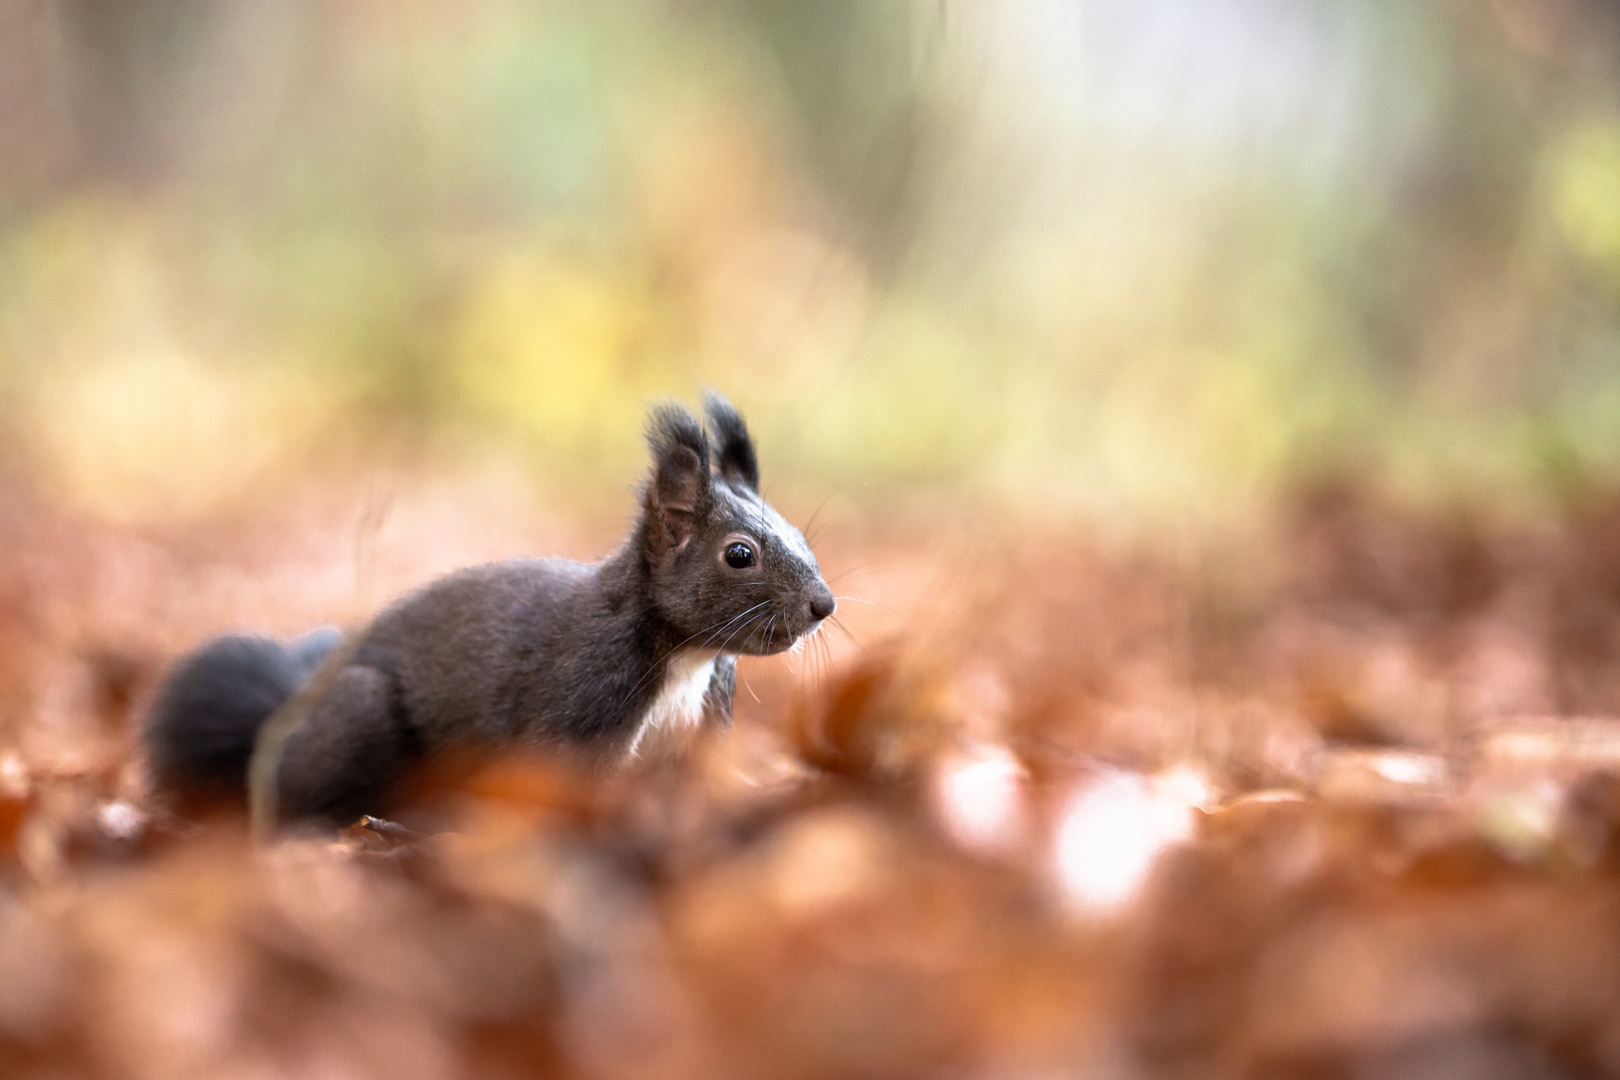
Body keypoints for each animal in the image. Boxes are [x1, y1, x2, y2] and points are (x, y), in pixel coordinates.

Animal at [139, 396, 835, 829]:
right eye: (739, 554)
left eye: (802, 535)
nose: (823, 606)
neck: (685, 657)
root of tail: (285, 715)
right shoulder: (580, 702)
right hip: (358, 716)